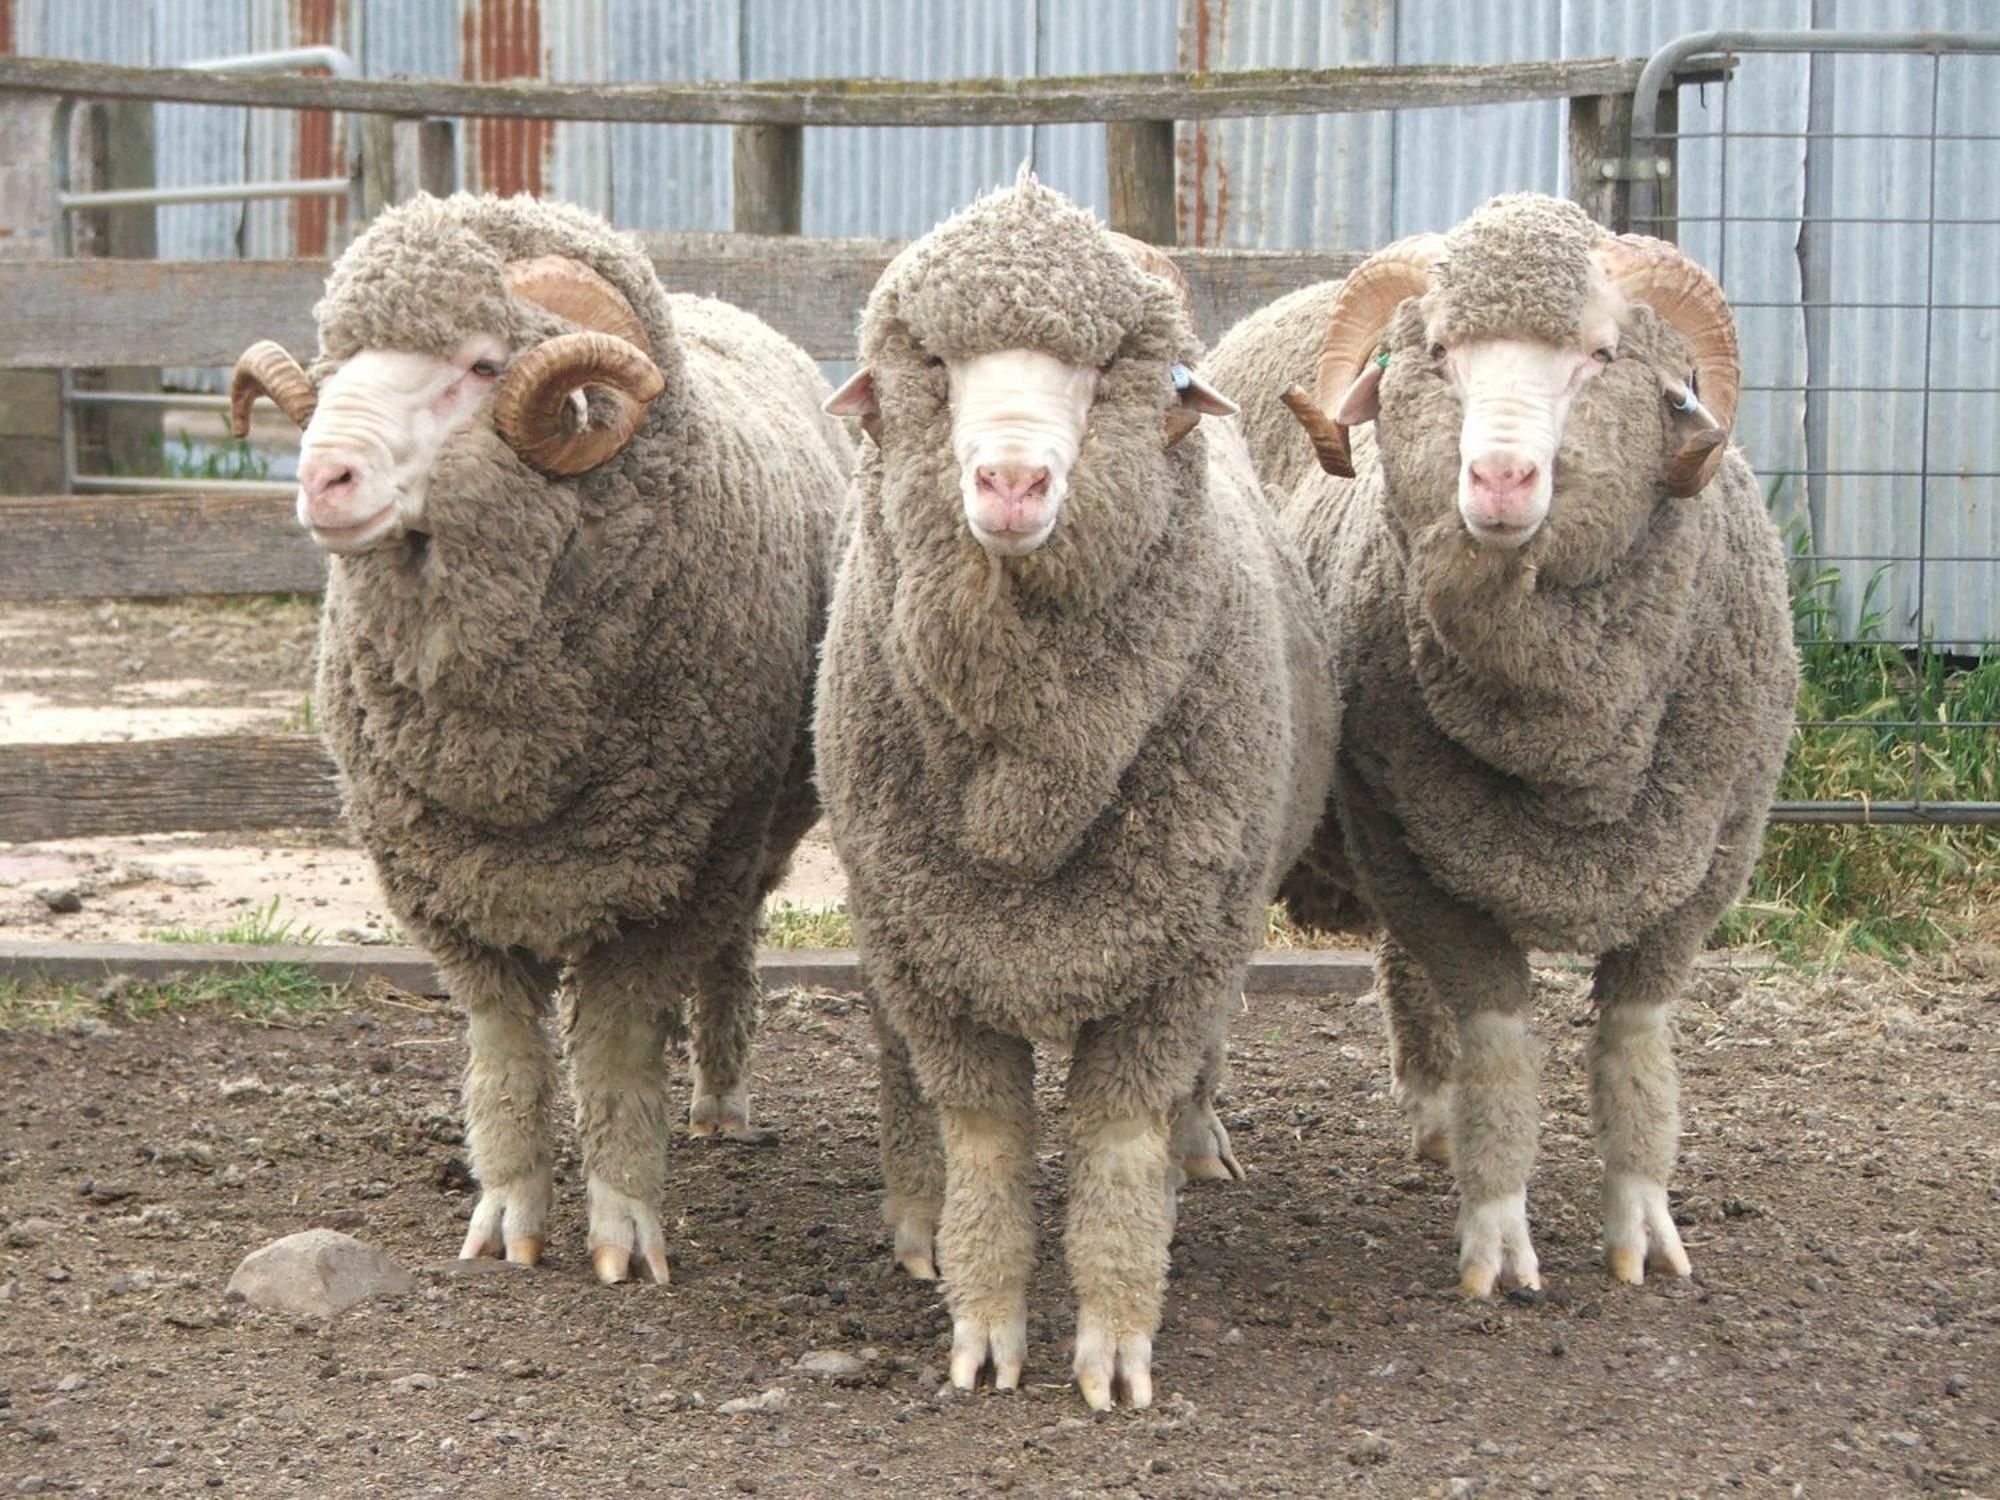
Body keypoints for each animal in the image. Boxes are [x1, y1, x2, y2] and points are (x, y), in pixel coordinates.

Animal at [229, 194, 852, 1288]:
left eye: (482, 365)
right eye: (338, 358)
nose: (323, 477)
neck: (513, 771)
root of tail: (715, 299)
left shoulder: (665, 887)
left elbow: (611, 1060)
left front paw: (623, 1227)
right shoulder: (451, 891)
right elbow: (508, 1060)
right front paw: (509, 1215)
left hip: (752, 830)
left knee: (735, 945)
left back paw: (719, 1098)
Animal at [804, 176, 1336, 1408]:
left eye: (1101, 374)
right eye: (939, 366)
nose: (1010, 481)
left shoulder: (1175, 960)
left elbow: (1119, 1145)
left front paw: (1116, 1342)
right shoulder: (935, 960)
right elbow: (985, 1146)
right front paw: (984, 1326)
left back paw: (1195, 1162)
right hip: (885, 913)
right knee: (899, 1071)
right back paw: (917, 1221)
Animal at [1200, 194, 1800, 1304]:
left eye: (1601, 354)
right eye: (1437, 352)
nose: (1499, 477)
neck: (1570, 750)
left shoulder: (1701, 868)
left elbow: (1635, 1055)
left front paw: (1642, 1230)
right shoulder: (1418, 862)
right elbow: (1501, 1056)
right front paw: (1497, 1238)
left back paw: (1434, 1117)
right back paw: (1204, 1134)